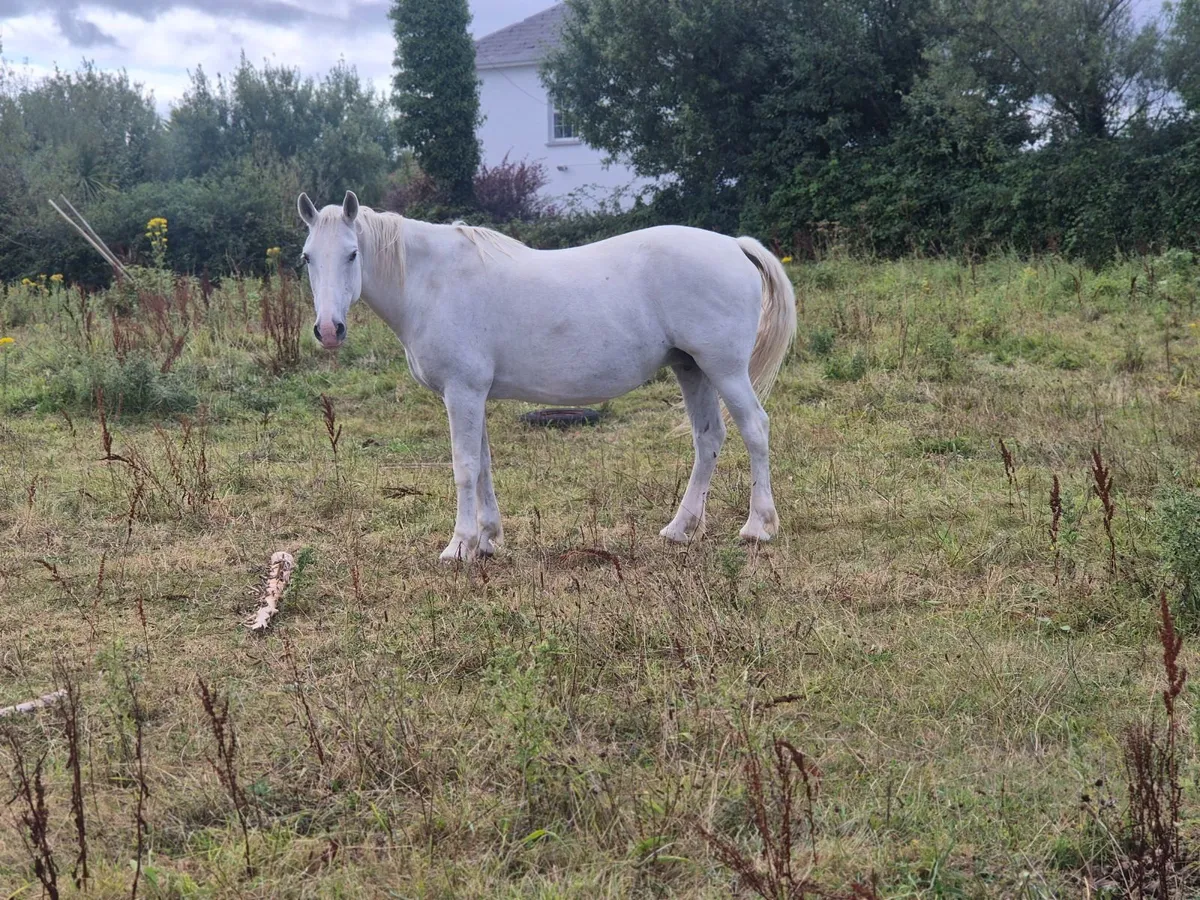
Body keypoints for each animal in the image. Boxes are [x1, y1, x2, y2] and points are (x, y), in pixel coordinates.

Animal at [297, 191, 797, 561]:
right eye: (306, 258)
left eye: (352, 254)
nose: (329, 330)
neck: (434, 283)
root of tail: (732, 244)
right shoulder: (474, 395)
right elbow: (484, 465)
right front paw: (489, 539)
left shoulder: (462, 393)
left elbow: (465, 466)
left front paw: (459, 545)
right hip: (691, 368)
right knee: (708, 438)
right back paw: (681, 528)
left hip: (724, 369)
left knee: (755, 429)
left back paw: (758, 526)